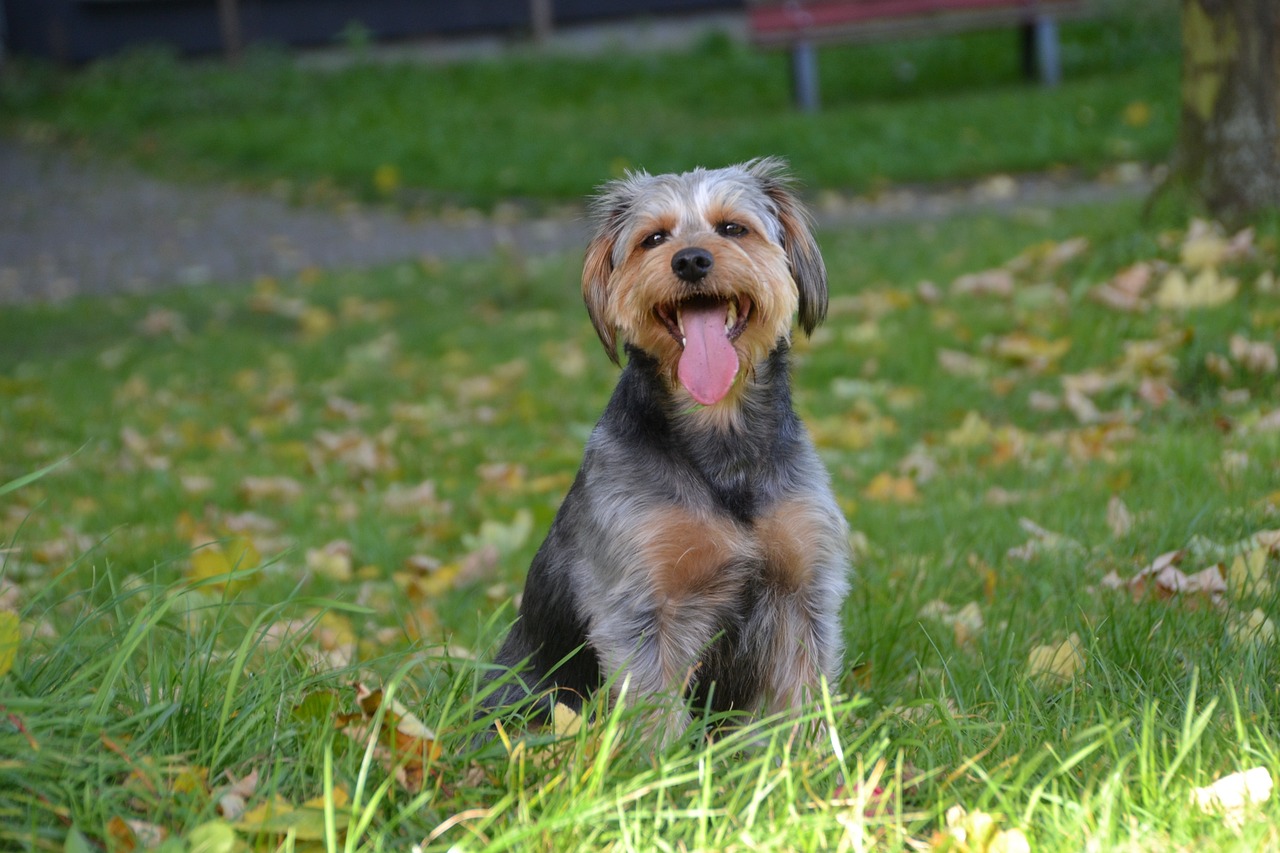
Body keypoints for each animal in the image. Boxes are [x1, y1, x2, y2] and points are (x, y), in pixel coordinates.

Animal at [483, 157, 855, 737]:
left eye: (733, 228)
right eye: (653, 238)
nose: (691, 259)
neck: (719, 432)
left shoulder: (801, 591)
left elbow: (801, 696)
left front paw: (810, 756)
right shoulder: (640, 607)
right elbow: (654, 710)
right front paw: (666, 762)